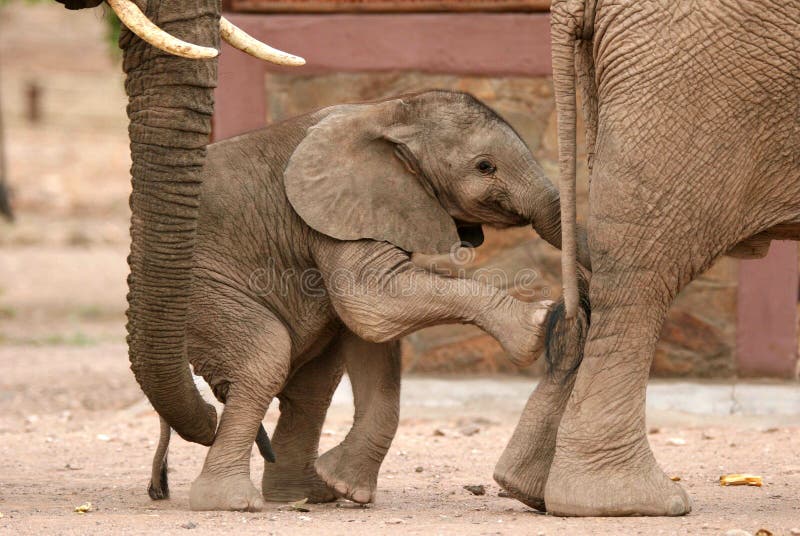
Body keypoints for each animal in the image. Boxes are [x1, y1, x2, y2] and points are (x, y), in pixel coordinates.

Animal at [148, 91, 588, 510]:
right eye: (485, 167)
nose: (575, 307)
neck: (389, 112)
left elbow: (373, 334)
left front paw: (348, 488)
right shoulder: (337, 210)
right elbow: (371, 300)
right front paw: (536, 325)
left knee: (314, 383)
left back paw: (305, 496)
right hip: (200, 293)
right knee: (265, 355)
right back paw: (233, 502)